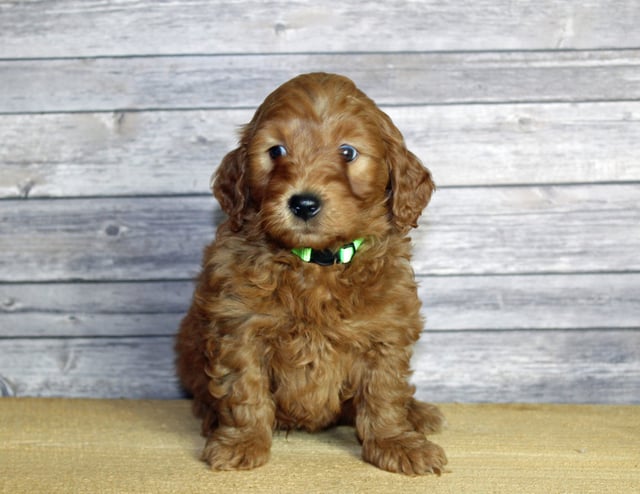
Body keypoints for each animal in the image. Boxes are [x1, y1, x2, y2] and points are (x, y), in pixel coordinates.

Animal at [174, 72, 444, 474]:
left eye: (347, 152)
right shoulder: (239, 326)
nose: (303, 203)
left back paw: (418, 413)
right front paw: (242, 441)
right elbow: (245, 389)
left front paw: (396, 442)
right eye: (276, 151)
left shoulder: (386, 331)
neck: (316, 263)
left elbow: (384, 392)